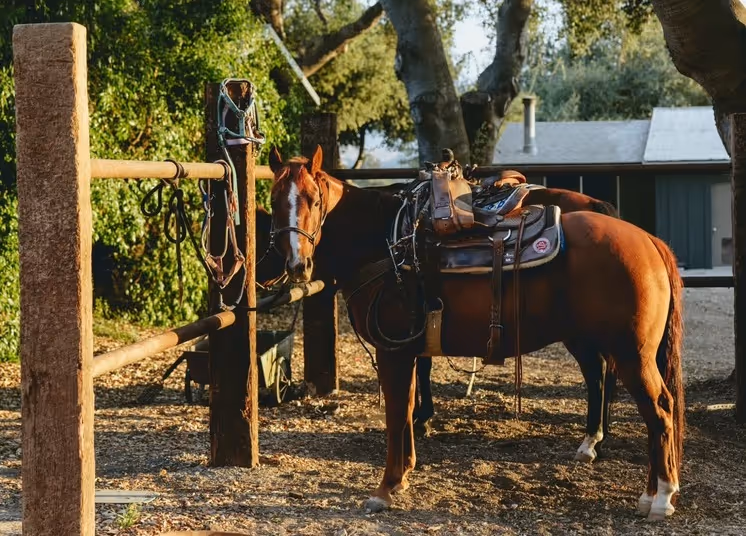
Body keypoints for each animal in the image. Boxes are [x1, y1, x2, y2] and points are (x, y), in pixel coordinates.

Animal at [268, 145, 685, 521]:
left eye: (313, 199)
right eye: (273, 201)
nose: (298, 264)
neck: (388, 244)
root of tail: (649, 242)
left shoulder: (393, 352)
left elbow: (396, 414)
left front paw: (385, 489)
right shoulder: (409, 351)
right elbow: (407, 407)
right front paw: (403, 476)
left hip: (631, 354)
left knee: (658, 409)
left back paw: (661, 498)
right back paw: (645, 491)